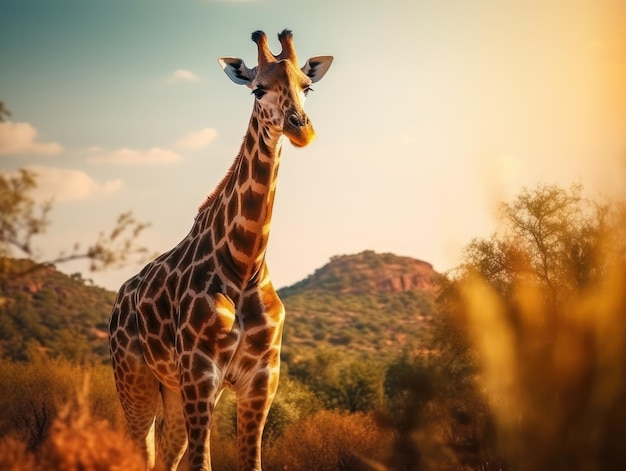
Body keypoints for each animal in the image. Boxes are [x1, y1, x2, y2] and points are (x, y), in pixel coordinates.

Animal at [107, 30, 332, 471]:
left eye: (307, 87)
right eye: (257, 88)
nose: (301, 129)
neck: (244, 262)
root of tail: (121, 298)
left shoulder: (262, 379)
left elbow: (251, 462)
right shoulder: (200, 372)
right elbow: (201, 463)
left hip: (170, 389)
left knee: (164, 457)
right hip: (135, 381)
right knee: (142, 450)